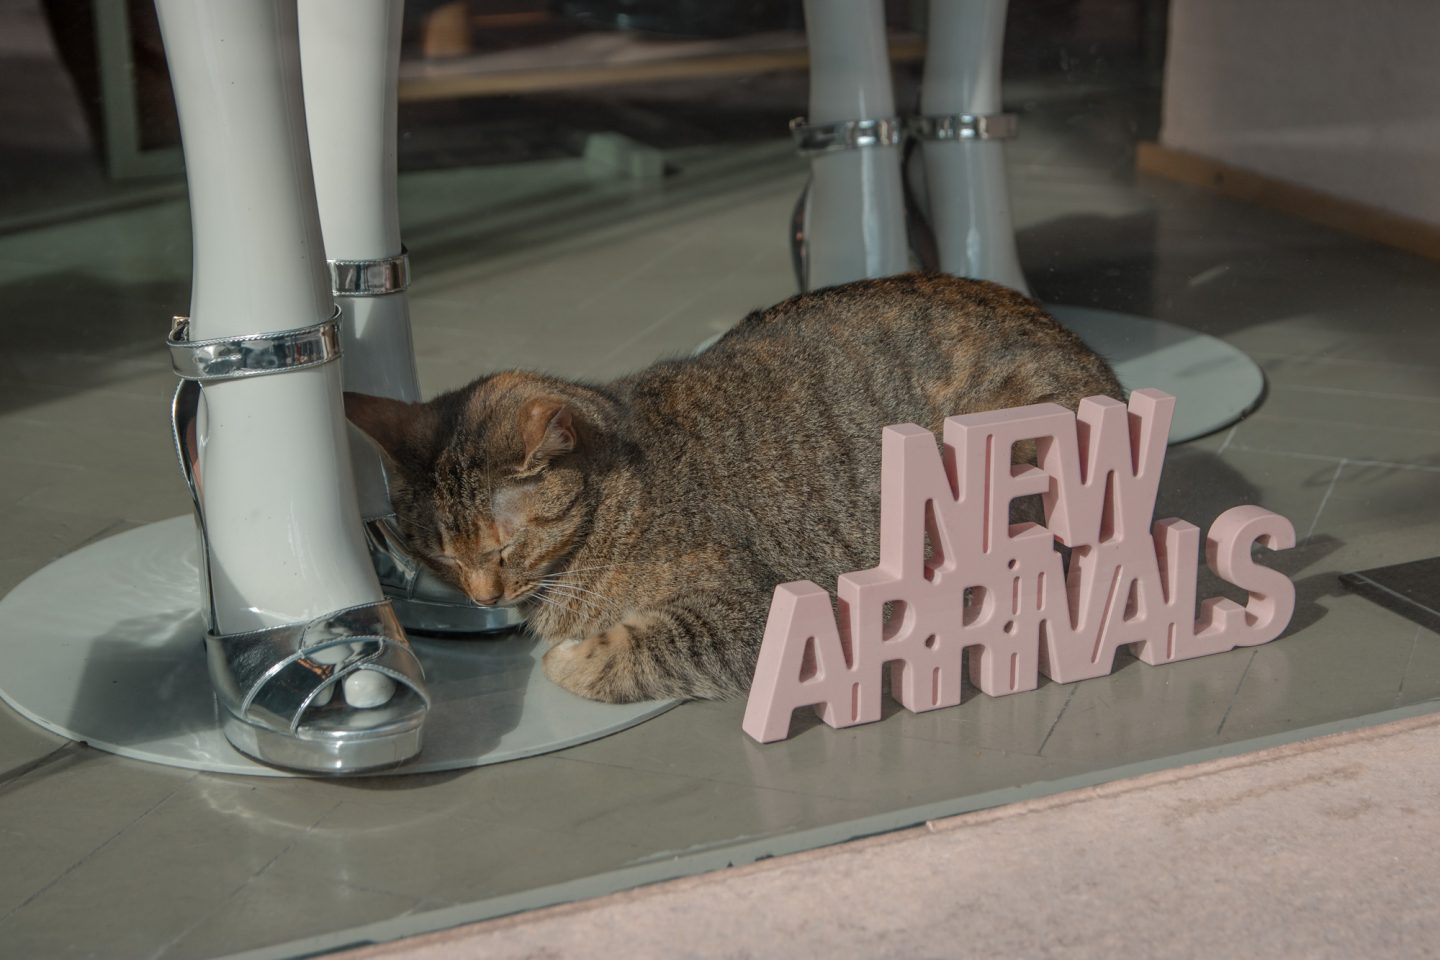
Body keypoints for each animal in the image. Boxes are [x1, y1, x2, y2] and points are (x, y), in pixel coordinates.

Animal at [345, 273, 1123, 702]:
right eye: (439, 557)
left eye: (503, 548)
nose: (483, 599)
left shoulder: (750, 612)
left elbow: (633, 650)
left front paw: (567, 658)